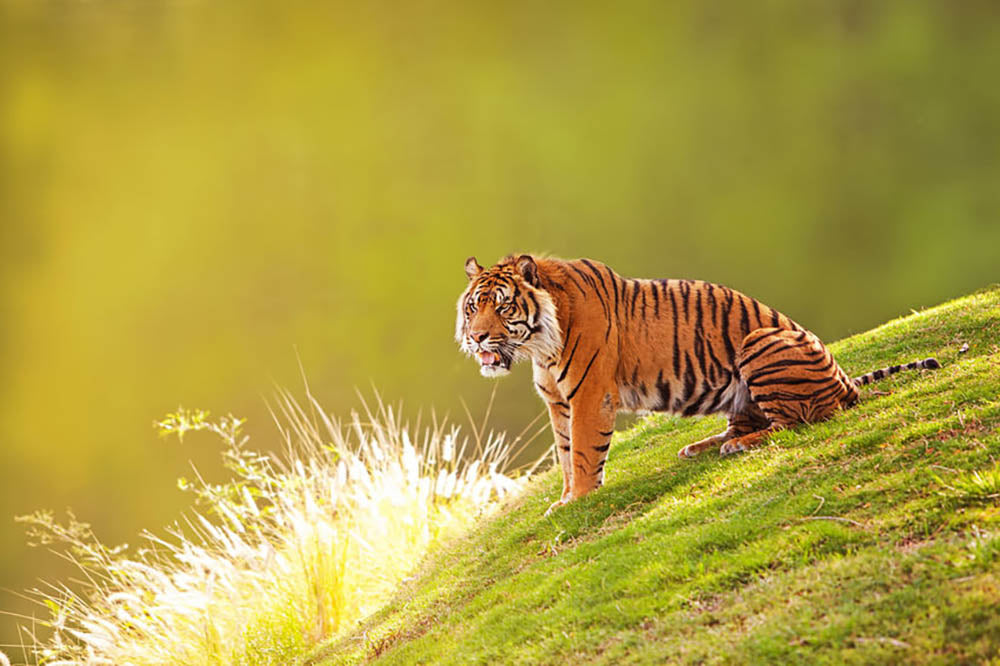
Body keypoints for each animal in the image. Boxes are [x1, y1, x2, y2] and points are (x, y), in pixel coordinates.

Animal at [456, 254, 940, 514]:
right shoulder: (558, 402)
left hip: (759, 341)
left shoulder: (589, 394)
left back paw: (736, 446)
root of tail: (843, 380)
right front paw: (564, 499)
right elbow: (564, 452)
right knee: (751, 422)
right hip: (741, 393)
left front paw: (579, 499)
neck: (539, 345)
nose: (476, 337)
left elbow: (583, 452)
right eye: (473, 308)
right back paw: (701, 447)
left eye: (502, 308)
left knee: (796, 422)